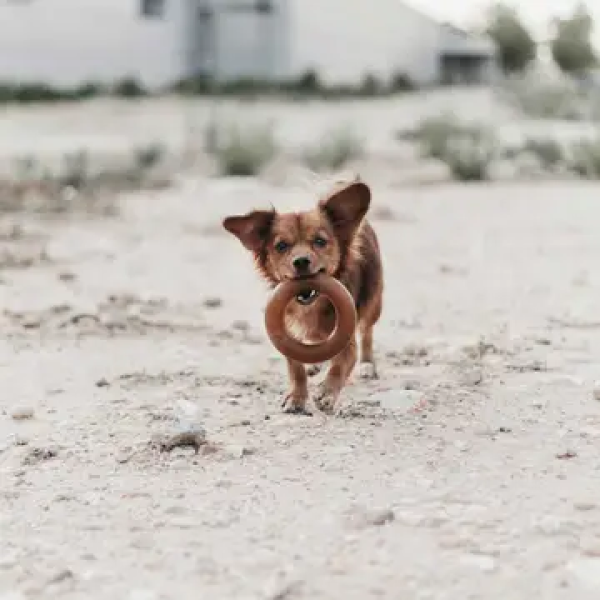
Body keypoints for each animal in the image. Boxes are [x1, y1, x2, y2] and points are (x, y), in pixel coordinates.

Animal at [222, 179, 383, 415]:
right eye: (281, 246)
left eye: (320, 241)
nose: (301, 261)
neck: (311, 307)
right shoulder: (287, 333)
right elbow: (295, 367)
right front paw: (296, 397)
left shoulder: (347, 342)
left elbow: (340, 365)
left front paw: (326, 393)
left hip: (374, 303)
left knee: (368, 330)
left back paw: (367, 364)